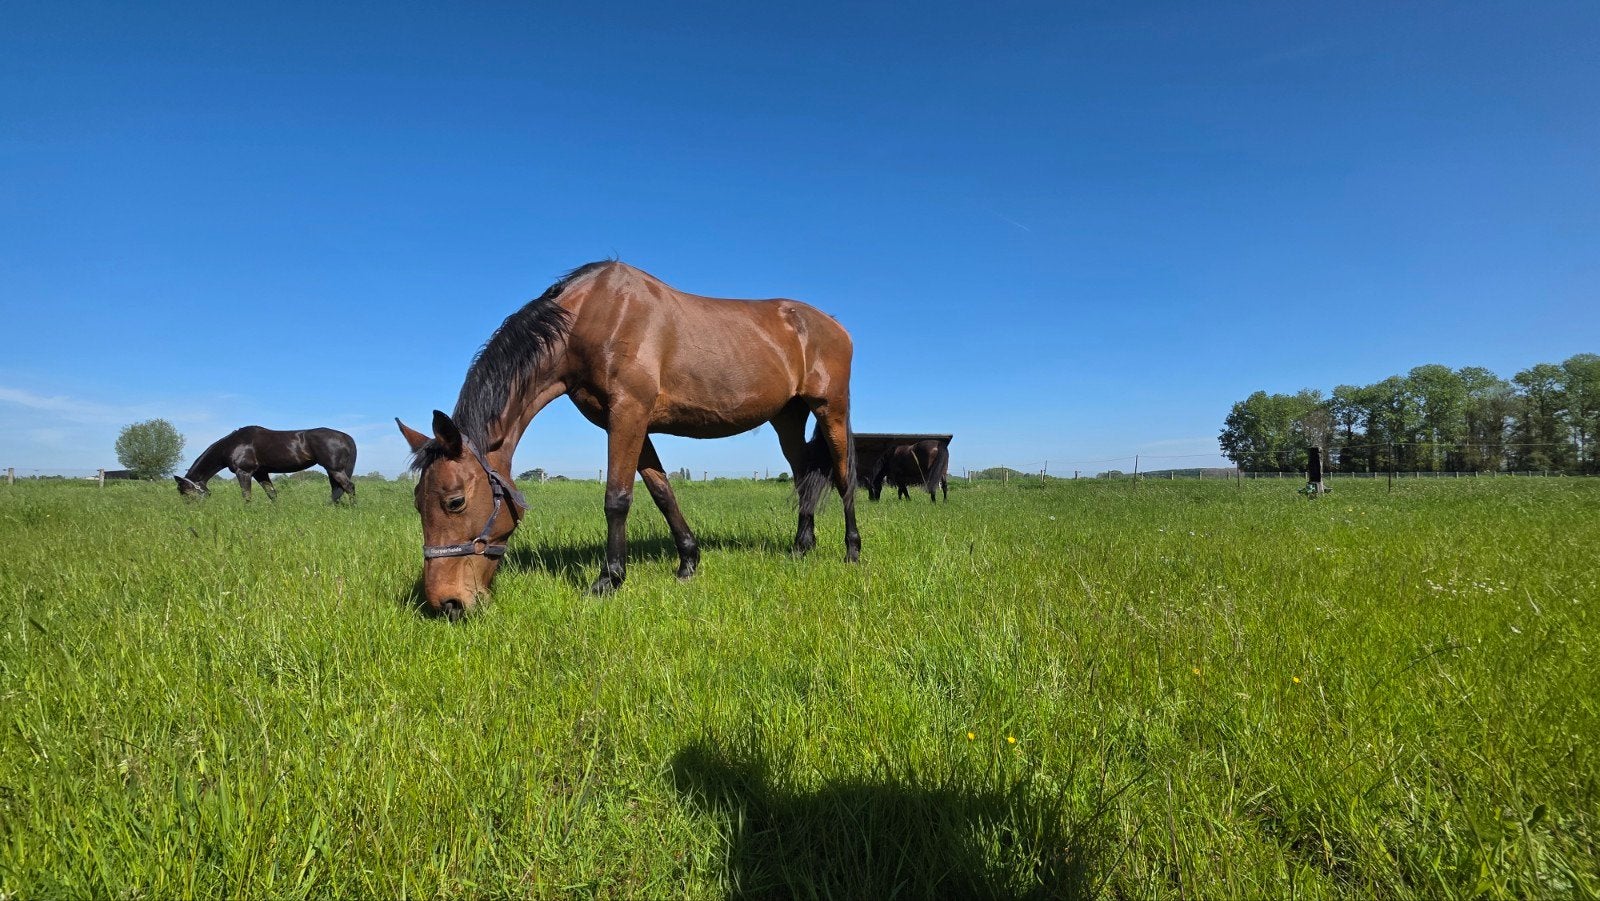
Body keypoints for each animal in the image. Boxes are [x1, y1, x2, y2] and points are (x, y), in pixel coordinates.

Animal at [175, 426, 358, 503]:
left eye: (185, 493)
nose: (190, 511)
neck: (232, 445)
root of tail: (345, 437)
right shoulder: (260, 473)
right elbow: (272, 494)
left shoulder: (243, 472)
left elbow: (246, 495)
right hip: (332, 471)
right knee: (337, 490)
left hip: (335, 469)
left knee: (349, 487)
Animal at [397, 261, 859, 619]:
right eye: (417, 502)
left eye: (454, 501)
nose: (446, 604)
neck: (592, 318)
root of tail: (834, 324)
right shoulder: (629, 423)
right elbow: (662, 491)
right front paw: (687, 563)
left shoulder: (629, 415)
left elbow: (617, 498)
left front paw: (608, 579)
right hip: (788, 418)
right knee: (803, 476)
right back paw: (801, 548)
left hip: (831, 410)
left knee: (842, 478)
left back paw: (852, 552)